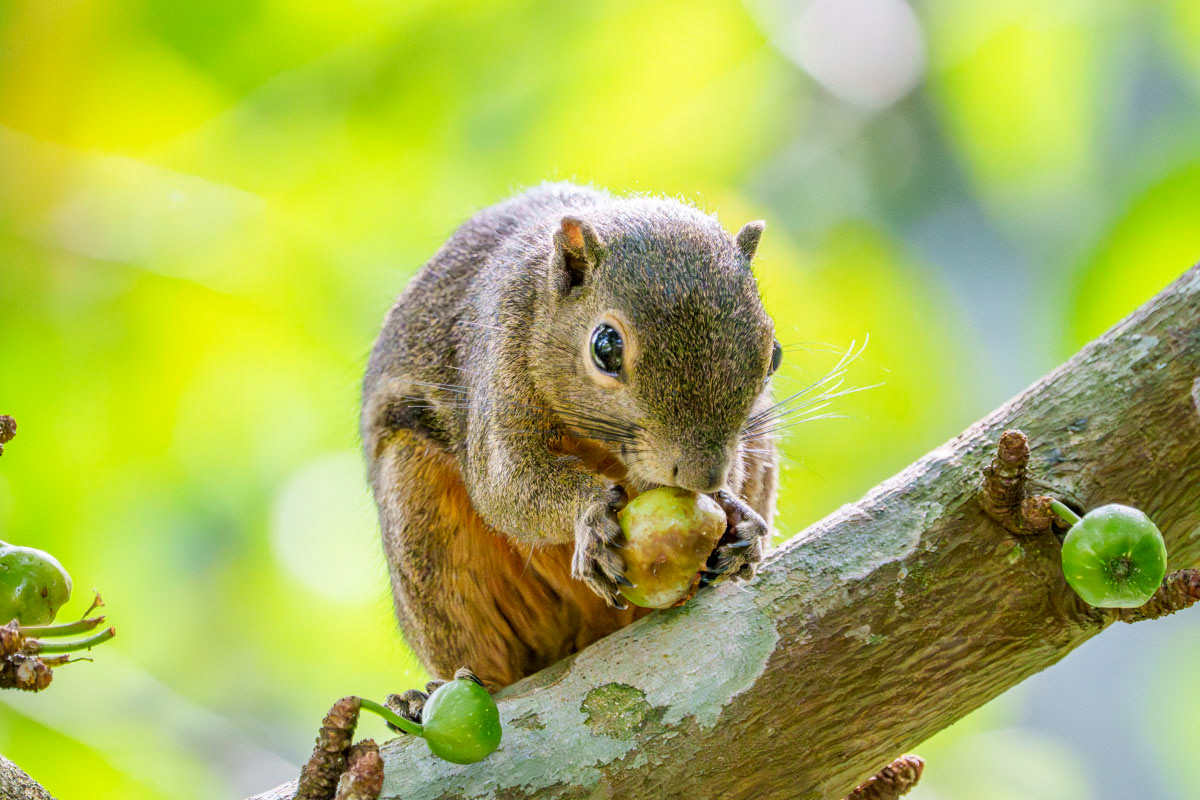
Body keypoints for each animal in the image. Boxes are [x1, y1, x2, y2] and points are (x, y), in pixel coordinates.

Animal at [361, 182, 781, 701]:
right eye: (606, 348)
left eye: (773, 355)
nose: (703, 476)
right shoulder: (497, 361)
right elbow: (506, 484)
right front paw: (589, 512)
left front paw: (738, 517)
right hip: (421, 516)